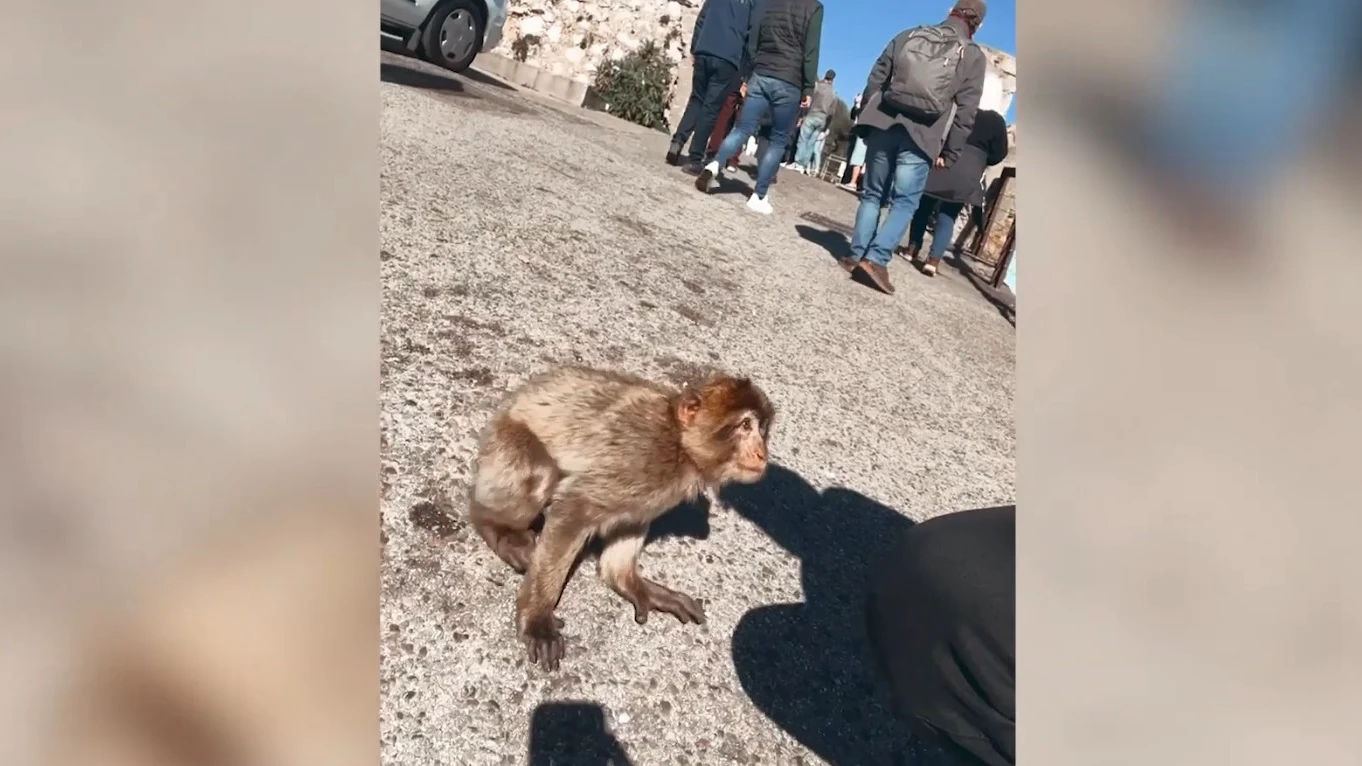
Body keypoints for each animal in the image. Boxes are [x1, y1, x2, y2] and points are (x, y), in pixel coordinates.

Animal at [467, 366, 774, 670]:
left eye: (761, 429)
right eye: (745, 426)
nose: (762, 454)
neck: (681, 449)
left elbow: (630, 523)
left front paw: (633, 584)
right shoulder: (642, 459)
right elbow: (574, 509)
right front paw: (537, 617)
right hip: (503, 446)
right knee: (540, 473)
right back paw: (493, 524)